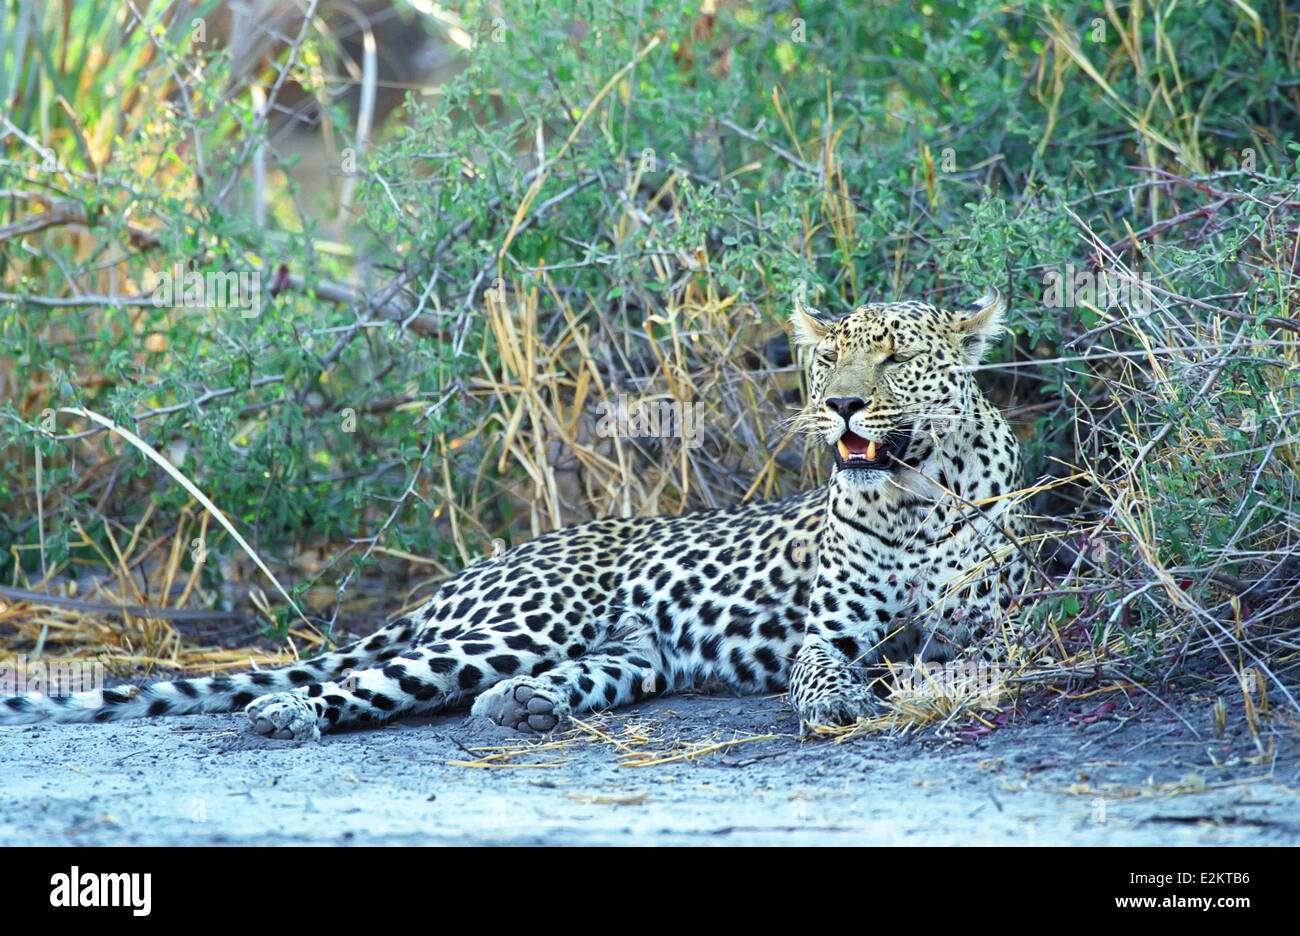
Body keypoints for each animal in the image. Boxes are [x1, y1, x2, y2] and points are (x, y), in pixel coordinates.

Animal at [0, 288, 1024, 743]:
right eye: (828, 362)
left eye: (894, 360)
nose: (843, 405)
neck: (911, 499)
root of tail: (474, 570)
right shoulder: (829, 630)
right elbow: (819, 667)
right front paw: (836, 700)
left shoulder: (998, 628)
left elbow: (964, 653)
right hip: (519, 623)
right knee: (371, 681)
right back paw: (285, 712)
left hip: (626, 656)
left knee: (495, 686)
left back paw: (524, 706)